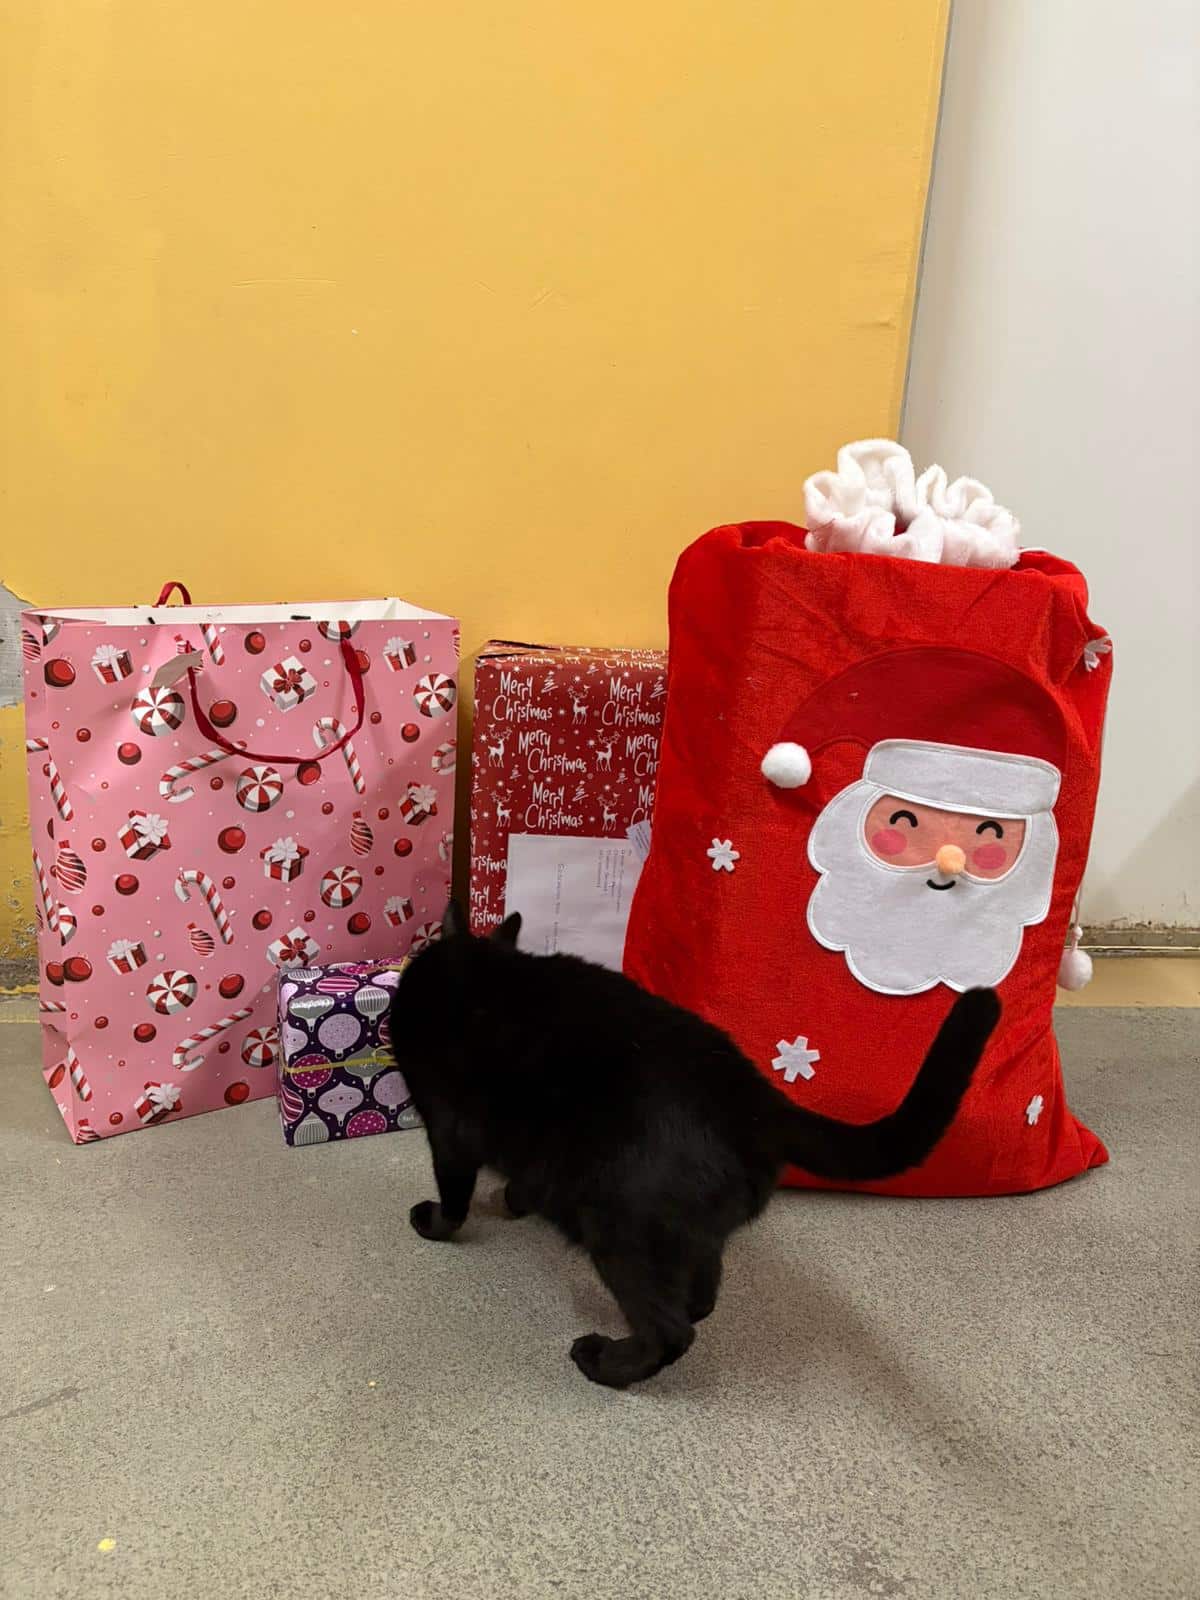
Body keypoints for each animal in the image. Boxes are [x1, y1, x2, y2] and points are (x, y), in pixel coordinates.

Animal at [389, 902, 1000, 1389]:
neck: (471, 970)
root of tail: (758, 1101)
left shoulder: (447, 1130)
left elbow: (454, 1197)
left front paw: (435, 1223)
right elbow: (523, 1180)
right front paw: (515, 1202)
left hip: (618, 1231)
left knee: (671, 1332)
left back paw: (606, 1364)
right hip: (682, 1228)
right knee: (704, 1289)